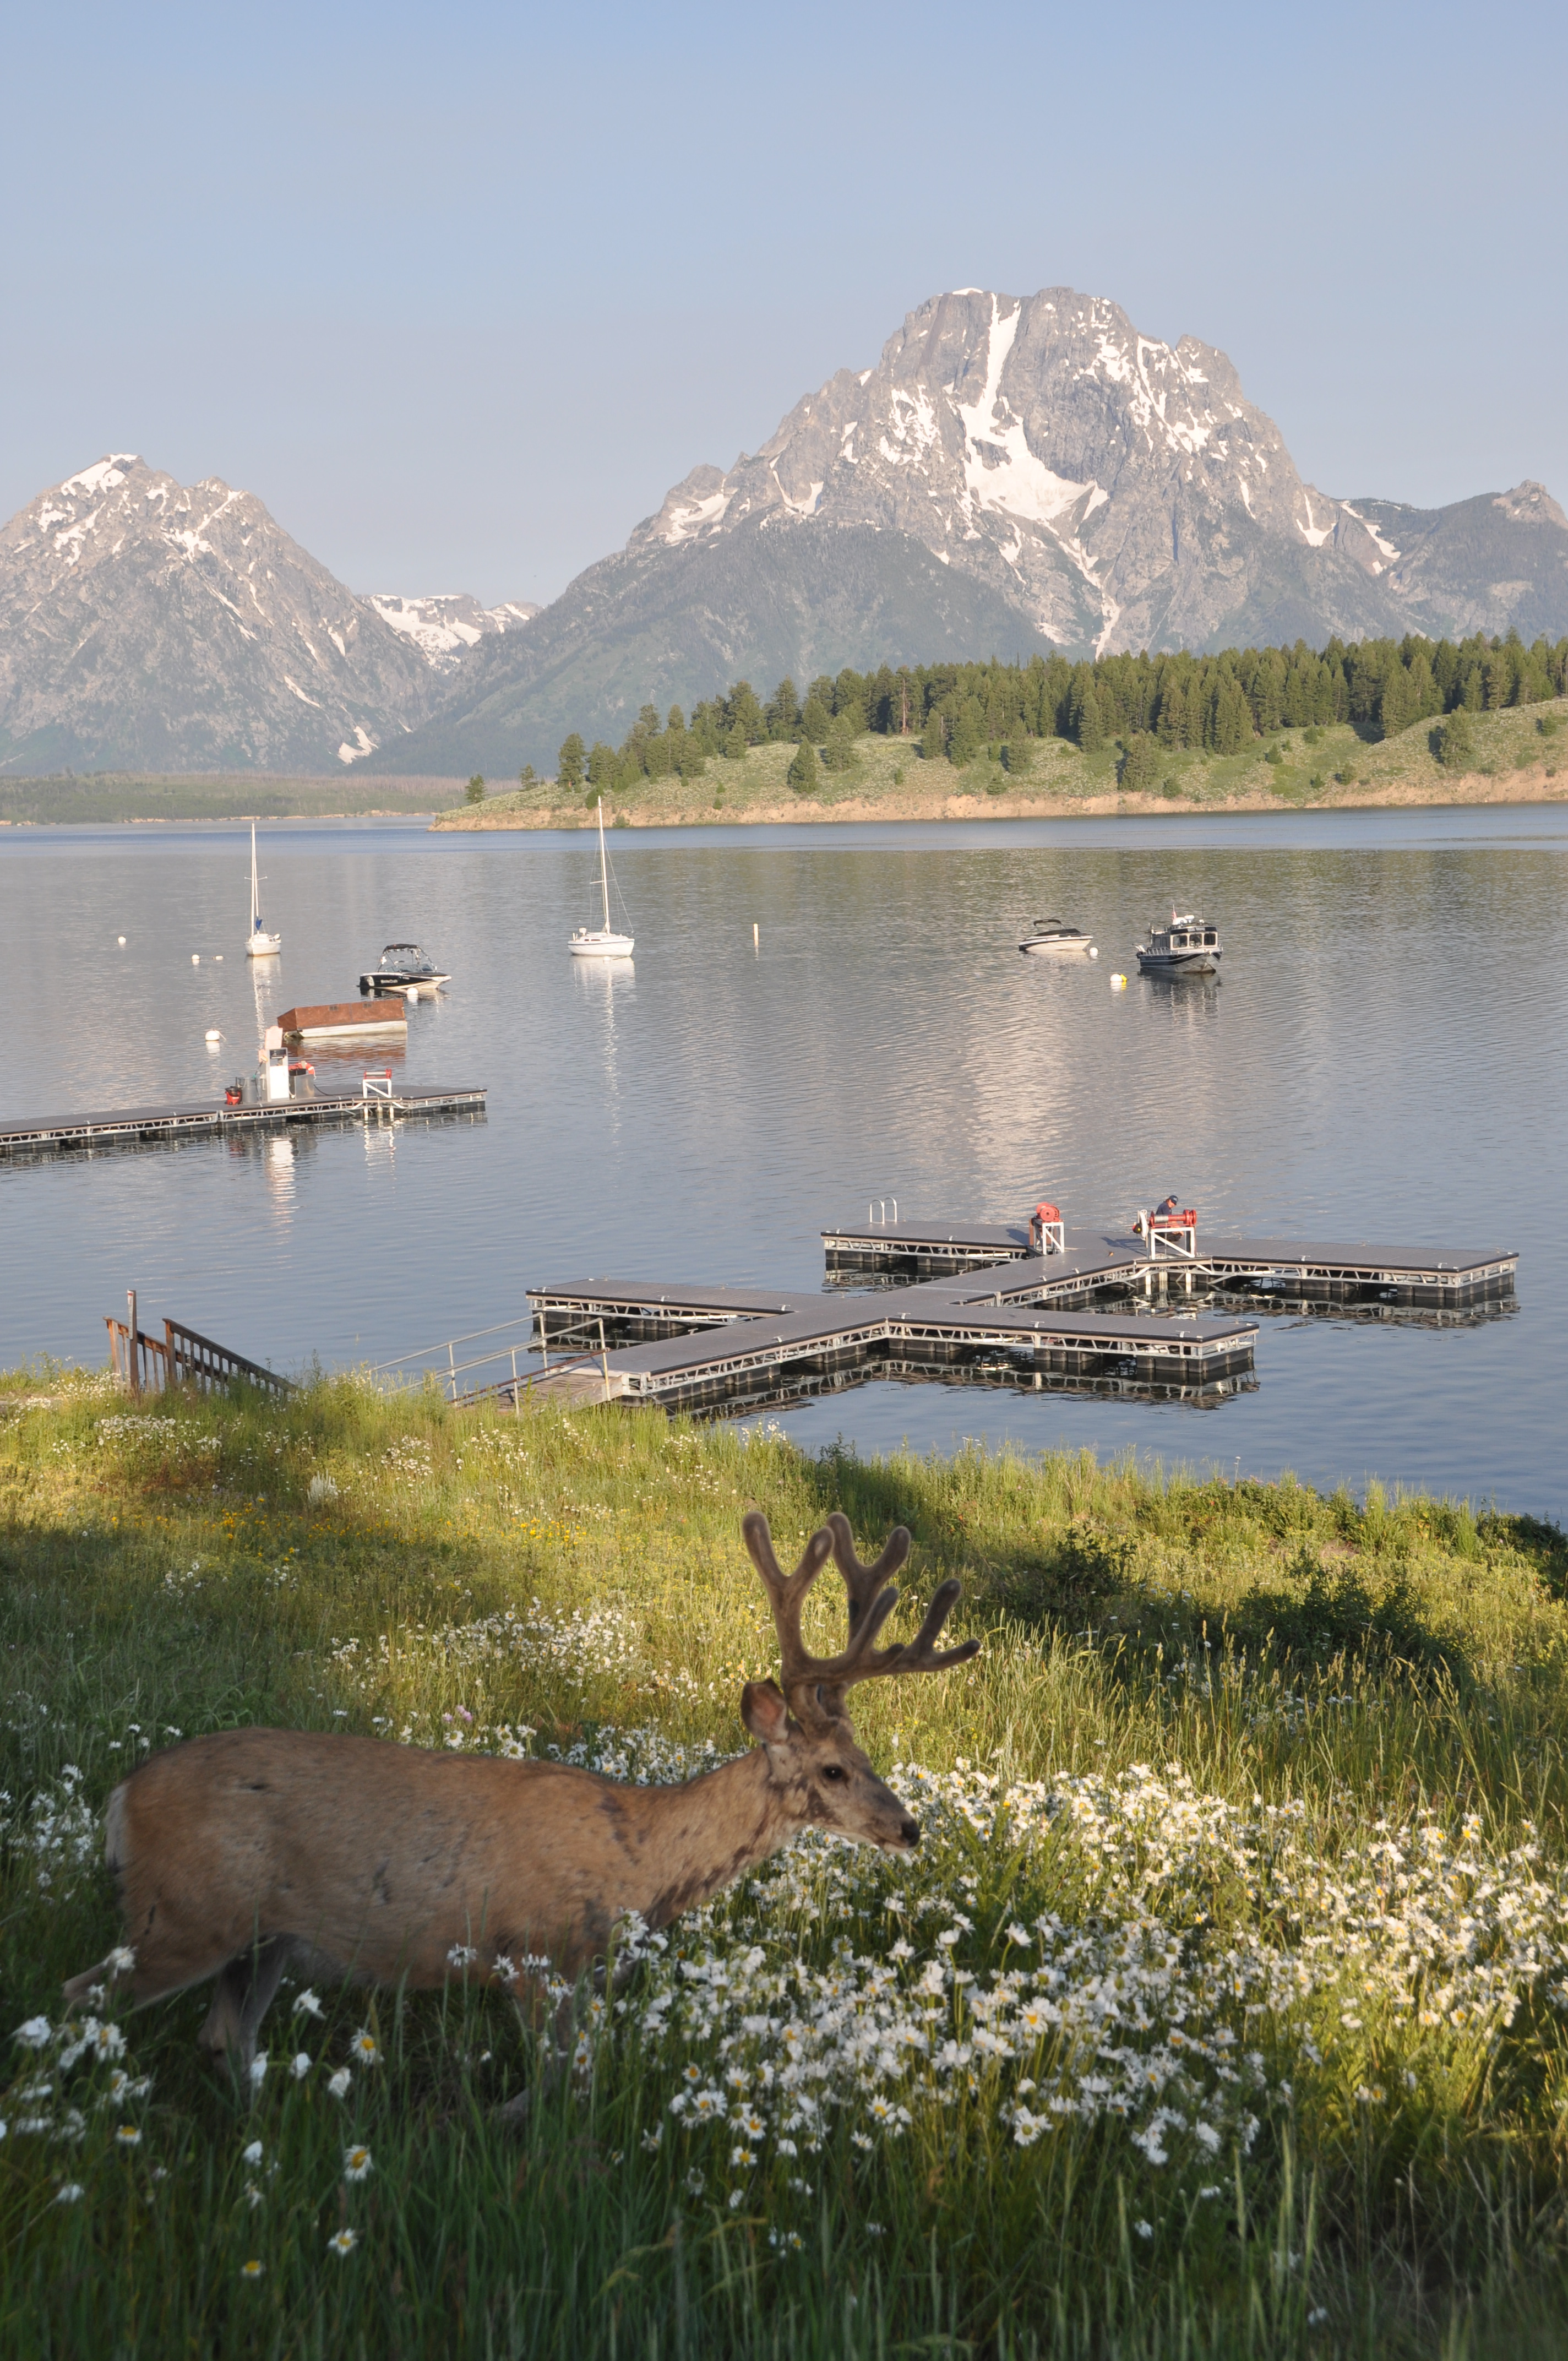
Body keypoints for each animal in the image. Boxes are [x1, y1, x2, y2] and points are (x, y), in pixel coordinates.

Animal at [64, 1511, 979, 2090]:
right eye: (832, 1771)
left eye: (865, 1755)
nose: (909, 1827)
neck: (641, 1860)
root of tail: (120, 1798)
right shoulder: (535, 1957)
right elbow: (559, 2091)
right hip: (182, 1915)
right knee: (84, 2001)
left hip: (262, 1941)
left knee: (226, 2038)